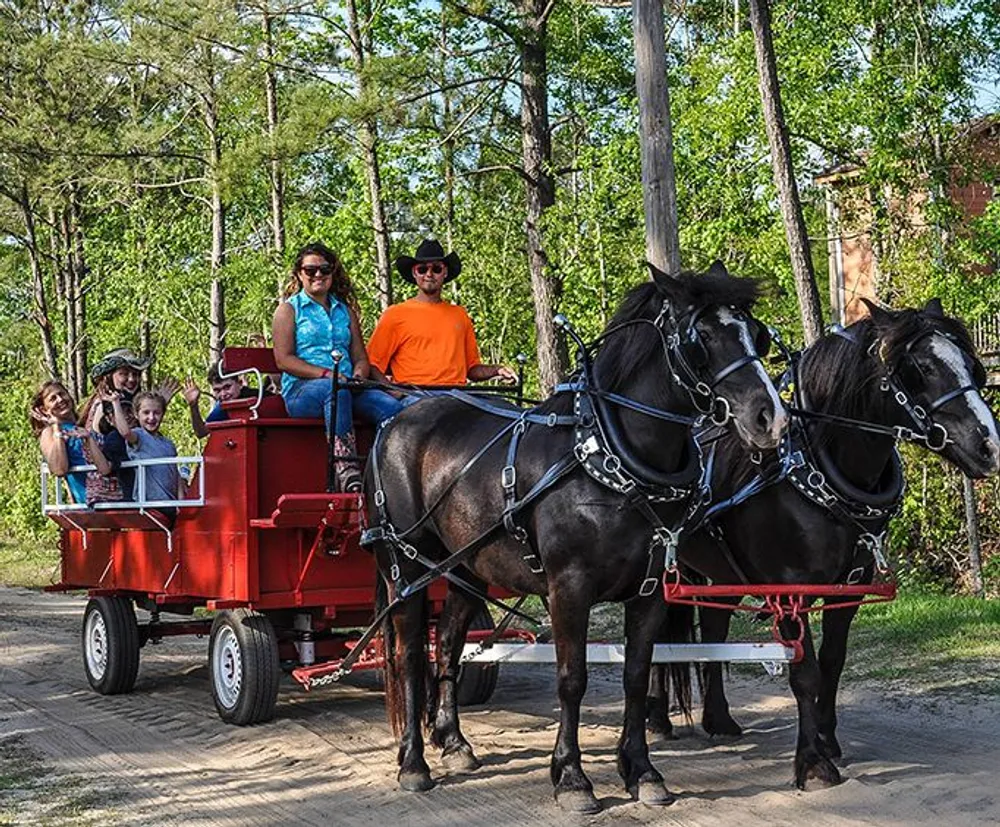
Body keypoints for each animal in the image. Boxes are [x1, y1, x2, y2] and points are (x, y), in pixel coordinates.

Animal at [368, 262, 788, 812]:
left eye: (755, 334)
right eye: (702, 338)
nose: (771, 418)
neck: (610, 460)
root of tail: (396, 421)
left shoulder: (650, 590)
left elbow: (636, 674)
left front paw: (642, 771)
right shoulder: (569, 588)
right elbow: (572, 679)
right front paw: (571, 777)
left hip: (464, 570)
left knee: (449, 644)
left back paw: (454, 742)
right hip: (409, 568)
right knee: (410, 654)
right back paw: (414, 762)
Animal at [648, 298, 1000, 788]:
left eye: (971, 365)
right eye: (922, 368)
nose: (990, 445)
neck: (814, 473)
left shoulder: (847, 590)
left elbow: (833, 662)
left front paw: (828, 739)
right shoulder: (787, 591)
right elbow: (806, 673)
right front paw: (812, 761)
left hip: (719, 571)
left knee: (714, 631)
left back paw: (718, 719)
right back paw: (656, 718)